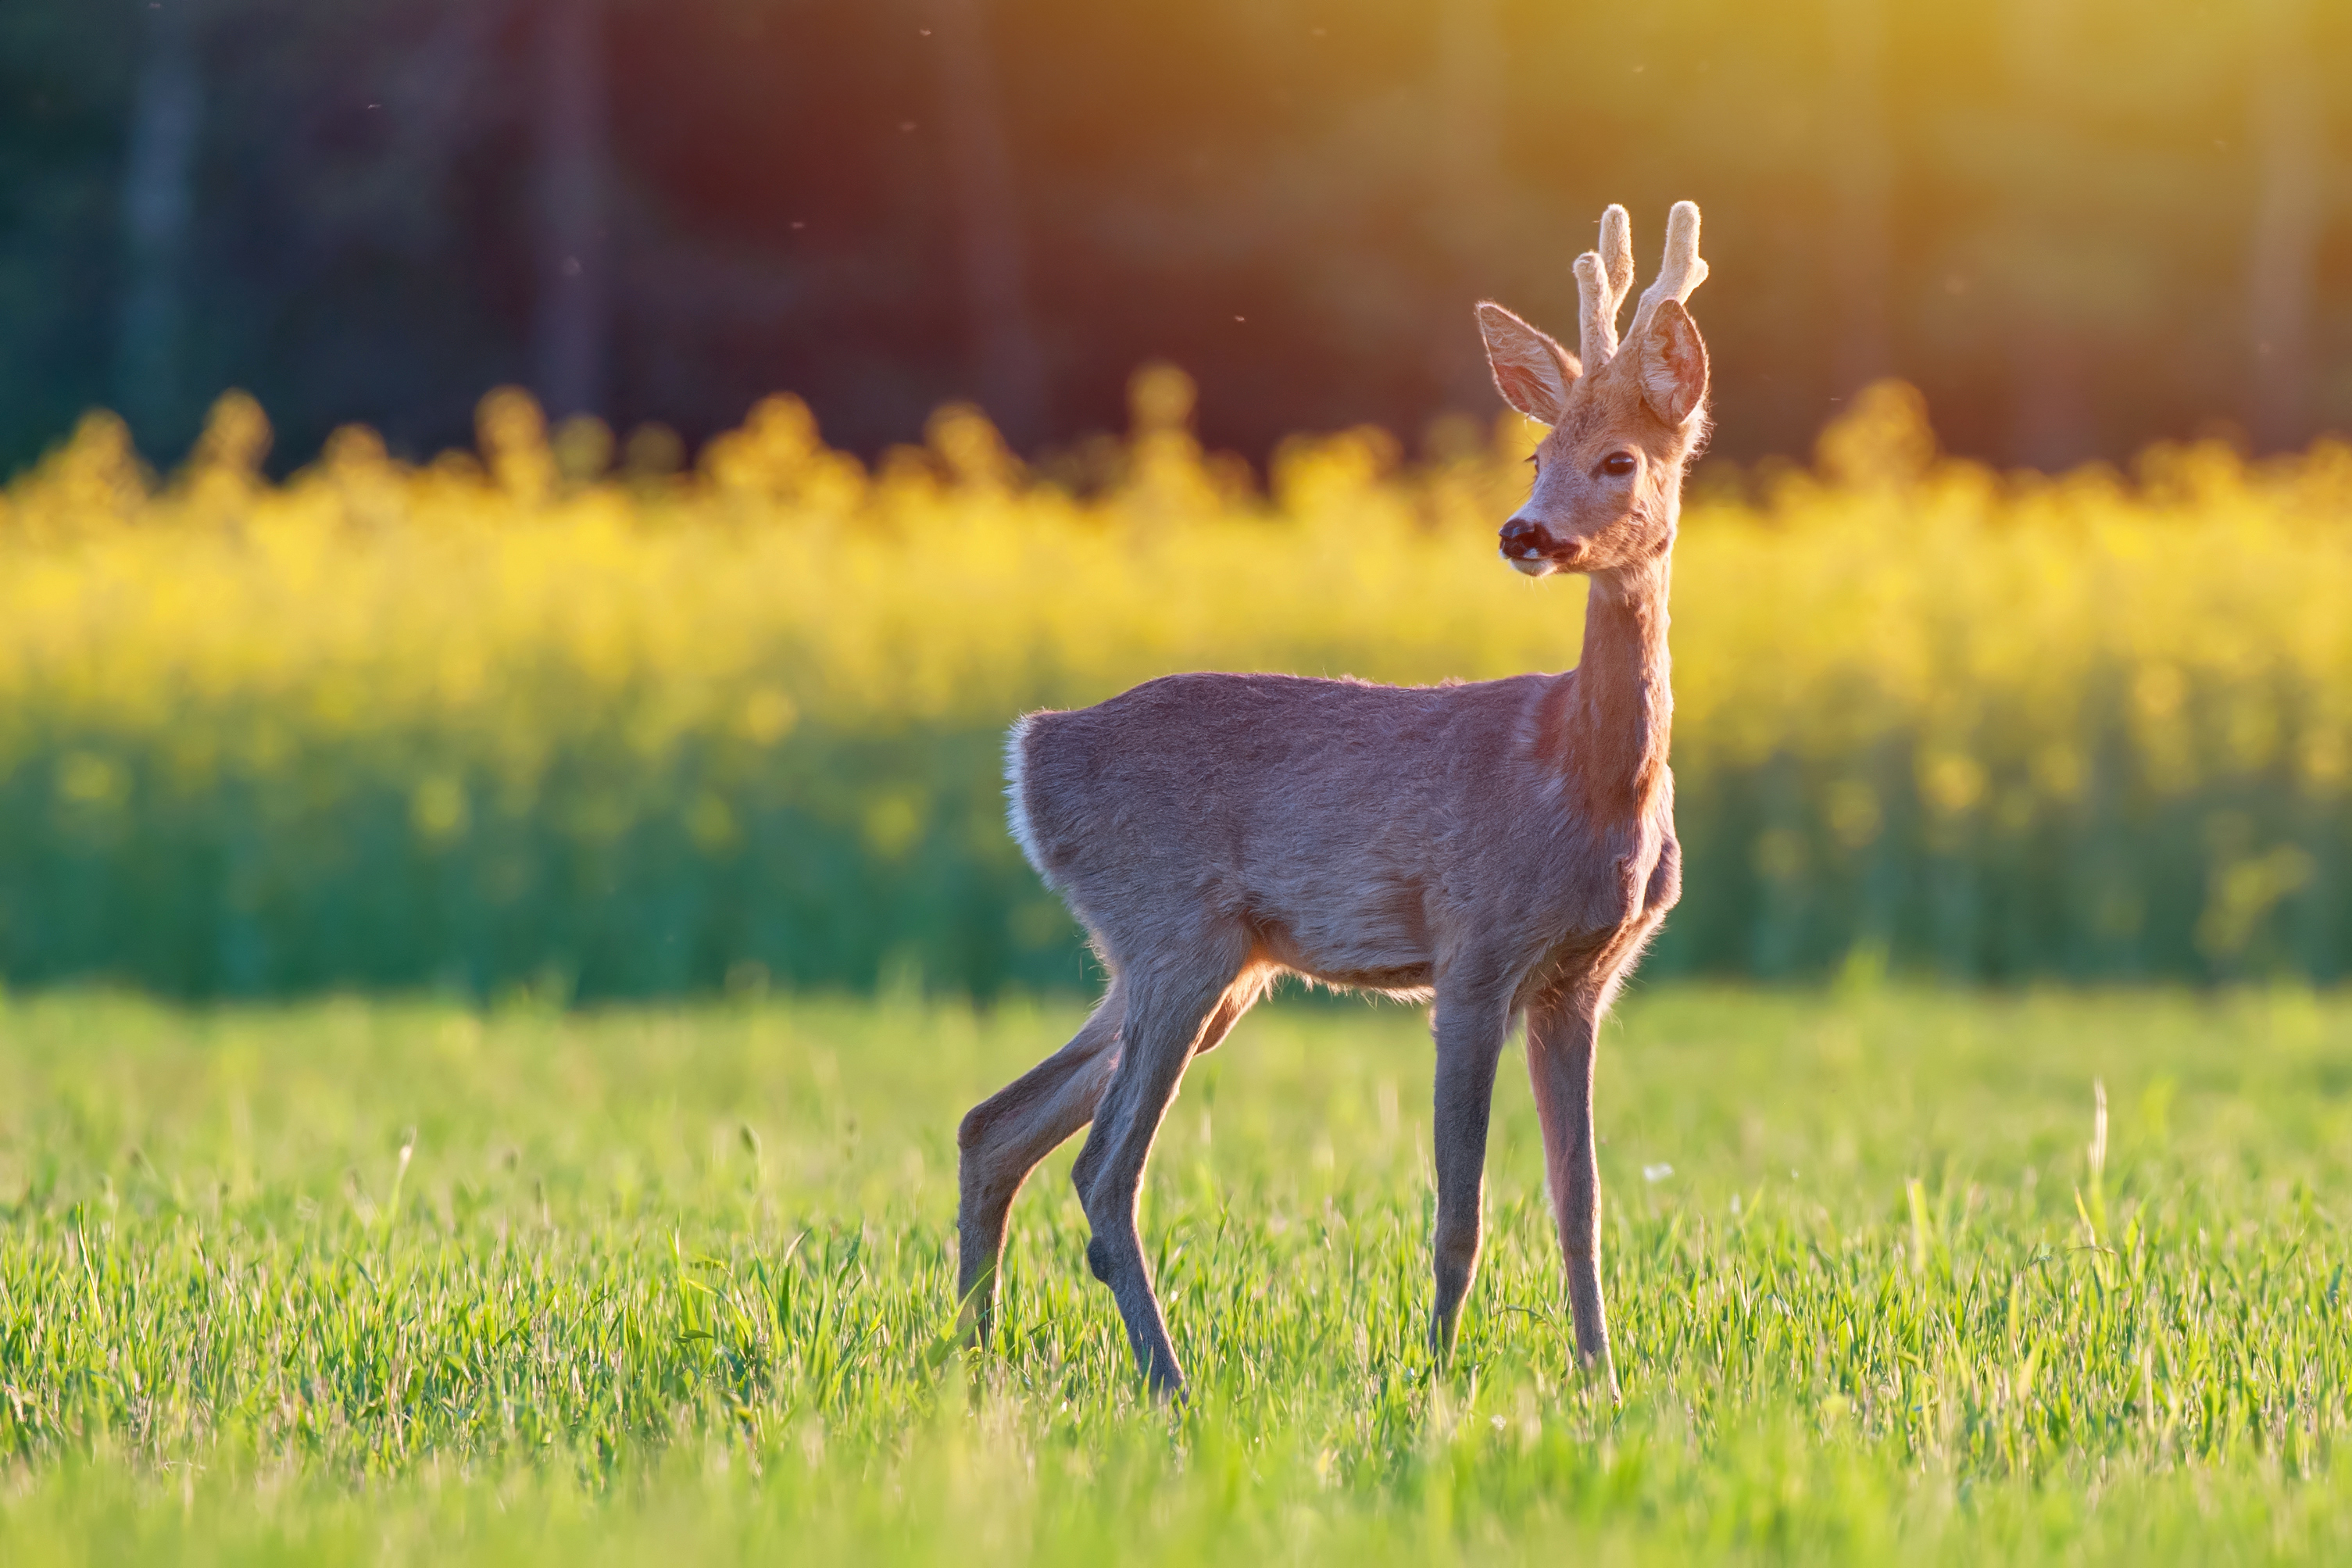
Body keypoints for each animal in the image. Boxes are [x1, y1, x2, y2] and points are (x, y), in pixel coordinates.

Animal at [955, 205, 1712, 1401]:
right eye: (1535, 454)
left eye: (1618, 456)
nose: (1522, 532)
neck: (1587, 789)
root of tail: (1032, 753)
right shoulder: (1472, 947)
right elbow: (1460, 1207)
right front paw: (1438, 1372)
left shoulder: (1581, 981)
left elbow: (1580, 1204)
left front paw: (1600, 1379)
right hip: (1175, 933)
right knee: (1101, 1165)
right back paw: (1167, 1378)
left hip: (1193, 963)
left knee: (994, 1124)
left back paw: (972, 1350)